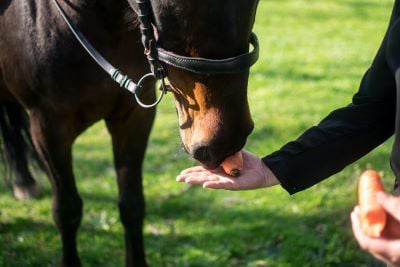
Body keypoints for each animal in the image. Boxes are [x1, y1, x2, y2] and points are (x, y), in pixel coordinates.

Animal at [0, 0, 260, 266]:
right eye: (176, 4)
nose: (226, 142)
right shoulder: (48, 129)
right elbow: (67, 211)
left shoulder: (133, 118)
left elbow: (132, 205)